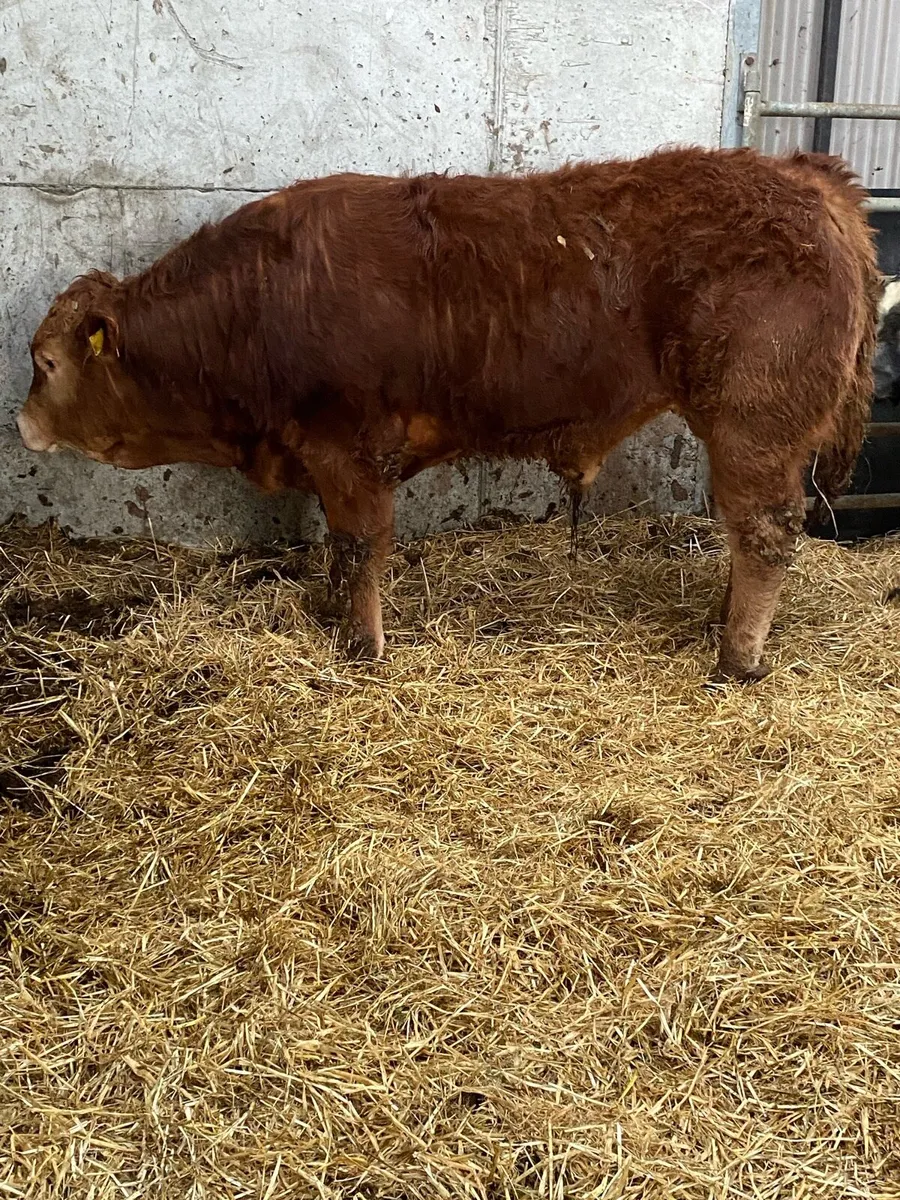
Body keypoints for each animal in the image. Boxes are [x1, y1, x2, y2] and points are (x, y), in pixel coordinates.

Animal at [17, 147, 880, 682]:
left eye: (47, 364)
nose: (22, 425)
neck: (257, 303)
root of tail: (804, 177)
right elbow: (338, 551)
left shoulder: (350, 450)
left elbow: (360, 546)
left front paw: (361, 646)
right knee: (746, 532)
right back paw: (718, 623)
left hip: (754, 423)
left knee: (766, 531)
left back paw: (735, 658)